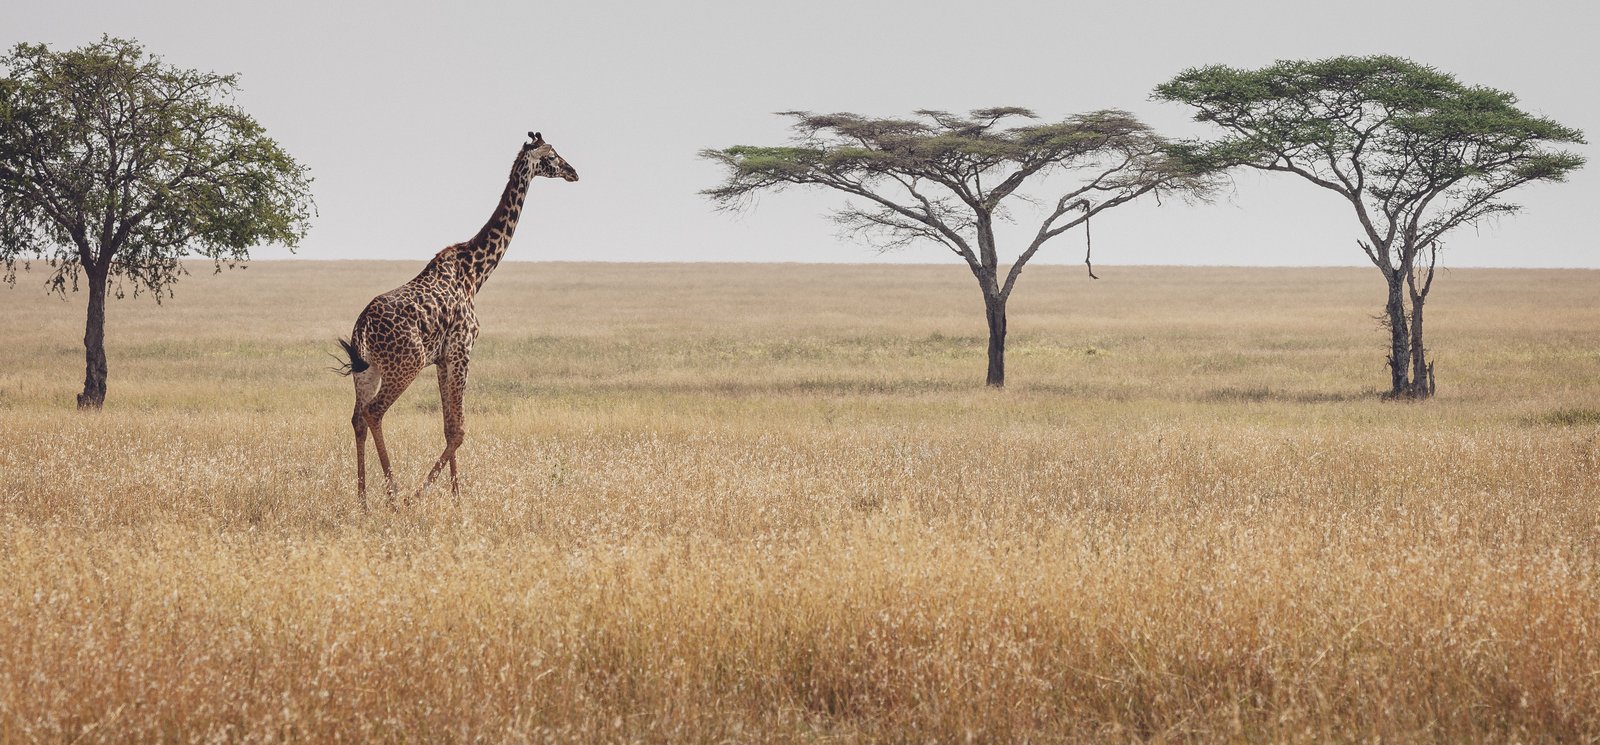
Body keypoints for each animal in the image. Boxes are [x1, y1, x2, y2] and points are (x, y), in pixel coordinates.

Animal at [336, 131, 578, 510]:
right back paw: (394, 494)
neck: (475, 272)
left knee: (358, 417)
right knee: (375, 412)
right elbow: (460, 430)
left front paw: (455, 495)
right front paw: (427, 494)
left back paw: (362, 500)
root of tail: (362, 328)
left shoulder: (442, 358)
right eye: (552, 155)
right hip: (404, 365)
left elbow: (449, 426)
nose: (573, 172)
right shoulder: (462, 349)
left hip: (368, 371)